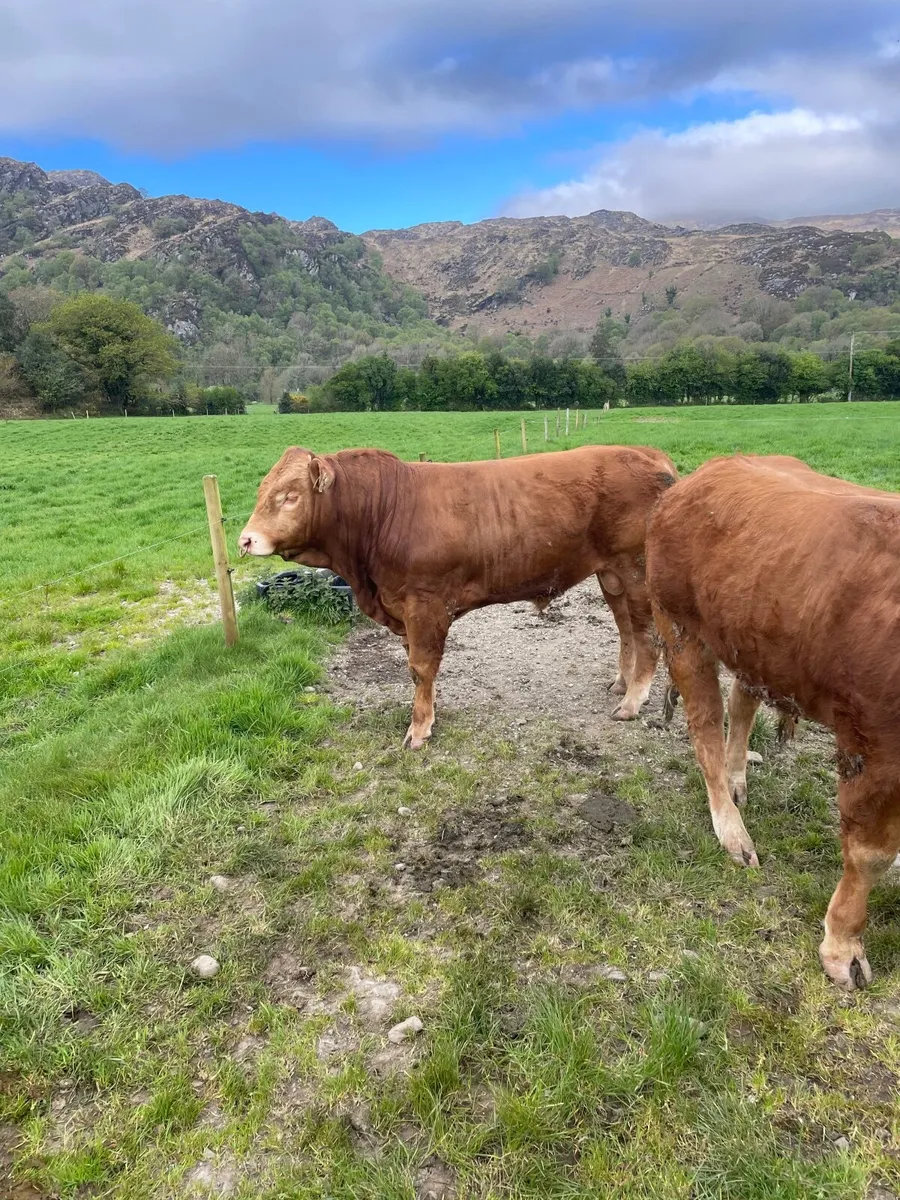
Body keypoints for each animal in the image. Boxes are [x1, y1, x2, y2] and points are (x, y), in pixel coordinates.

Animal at [239, 444, 677, 749]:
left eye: (291, 496)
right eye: (261, 489)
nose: (245, 539)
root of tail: (646, 454)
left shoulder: (425, 604)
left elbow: (421, 666)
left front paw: (419, 729)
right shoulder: (404, 608)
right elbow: (417, 669)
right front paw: (428, 712)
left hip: (636, 573)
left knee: (647, 637)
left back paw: (632, 702)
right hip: (611, 576)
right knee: (626, 629)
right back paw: (621, 683)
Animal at [646, 453, 900, 989]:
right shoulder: (875, 745)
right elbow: (870, 855)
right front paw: (843, 946)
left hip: (756, 642)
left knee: (742, 703)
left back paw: (738, 777)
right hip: (680, 628)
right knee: (706, 726)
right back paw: (732, 830)